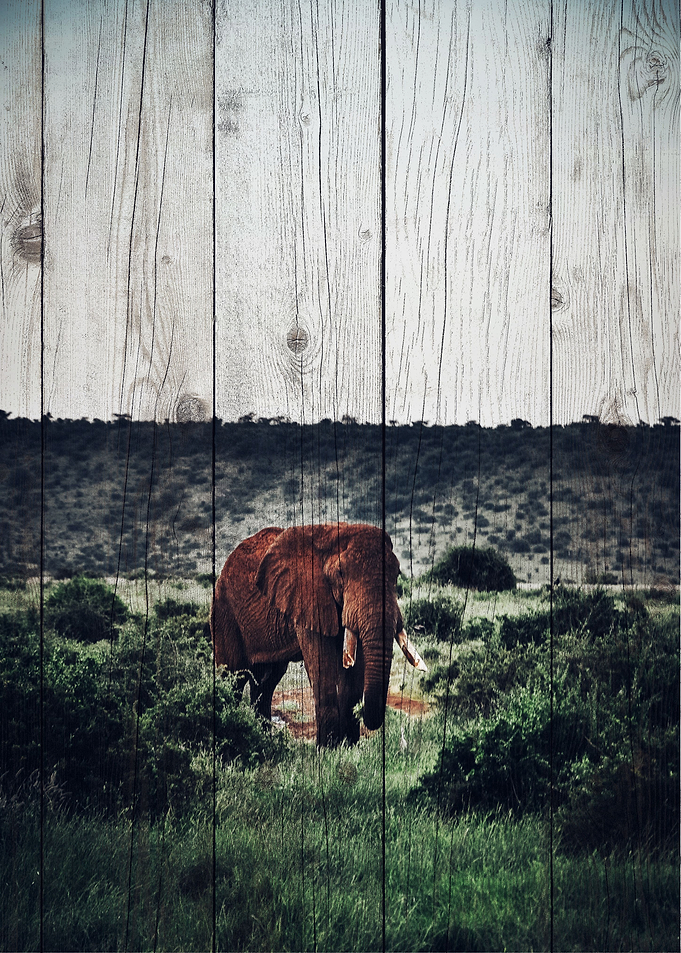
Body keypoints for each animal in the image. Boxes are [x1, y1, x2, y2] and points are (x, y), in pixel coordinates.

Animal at [210, 523, 426, 747]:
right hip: (224, 612)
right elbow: (323, 667)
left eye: (397, 573)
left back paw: (263, 738)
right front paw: (328, 749)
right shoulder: (308, 598)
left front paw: (349, 747)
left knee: (265, 683)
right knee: (233, 677)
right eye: (340, 574)